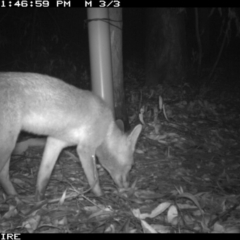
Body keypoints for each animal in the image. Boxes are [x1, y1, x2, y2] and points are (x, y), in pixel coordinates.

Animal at [0, 72, 142, 201]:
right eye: (131, 166)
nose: (127, 187)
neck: (107, 128)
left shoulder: (55, 142)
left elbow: (43, 177)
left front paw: (39, 200)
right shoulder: (84, 149)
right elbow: (94, 180)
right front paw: (101, 197)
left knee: (4, 176)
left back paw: (15, 197)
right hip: (8, 146)